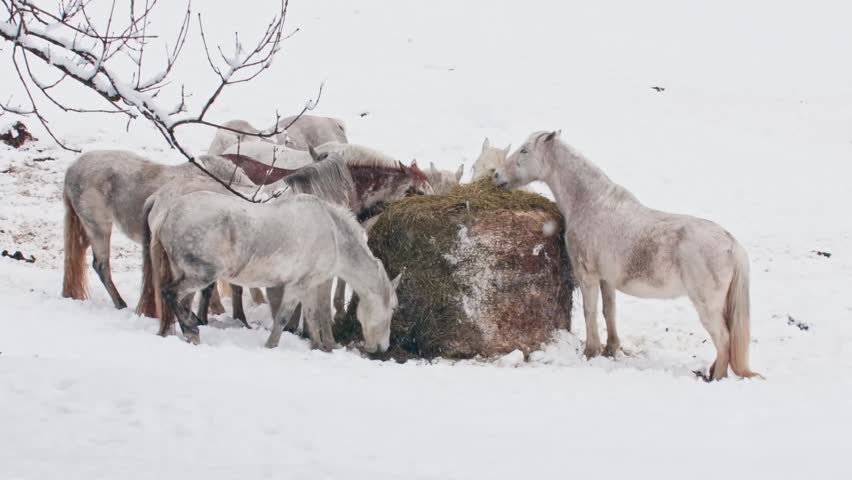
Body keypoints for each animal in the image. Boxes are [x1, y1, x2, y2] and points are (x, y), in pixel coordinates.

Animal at [149, 191, 400, 352]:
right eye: (393, 309)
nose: (382, 348)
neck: (334, 234)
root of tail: (168, 213)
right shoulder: (296, 286)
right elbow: (283, 318)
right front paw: (271, 345)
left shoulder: (309, 286)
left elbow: (312, 316)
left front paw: (319, 347)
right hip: (201, 275)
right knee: (170, 293)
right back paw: (192, 331)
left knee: (180, 302)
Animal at [494, 131, 760, 381]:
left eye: (525, 150)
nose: (496, 175)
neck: (590, 204)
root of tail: (732, 244)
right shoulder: (606, 279)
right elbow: (608, 311)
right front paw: (610, 350)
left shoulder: (587, 275)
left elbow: (590, 312)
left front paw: (590, 352)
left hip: (707, 305)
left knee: (723, 339)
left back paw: (717, 377)